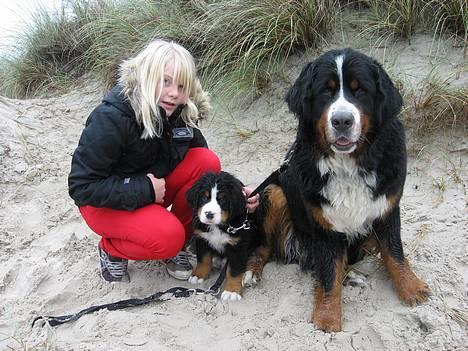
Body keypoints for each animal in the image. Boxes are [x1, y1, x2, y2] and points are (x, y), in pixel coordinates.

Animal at [186, 172, 260, 302]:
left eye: (222, 200)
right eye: (204, 198)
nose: (209, 214)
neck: (218, 226)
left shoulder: (238, 246)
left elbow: (234, 270)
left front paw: (232, 291)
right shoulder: (202, 238)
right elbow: (203, 259)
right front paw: (198, 275)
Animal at [247, 48, 430, 332]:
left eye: (360, 90)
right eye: (326, 91)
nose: (342, 120)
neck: (348, 166)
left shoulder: (387, 207)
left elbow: (394, 252)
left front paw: (411, 287)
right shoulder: (324, 223)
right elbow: (328, 272)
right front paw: (327, 318)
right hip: (274, 191)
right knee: (263, 247)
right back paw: (251, 272)